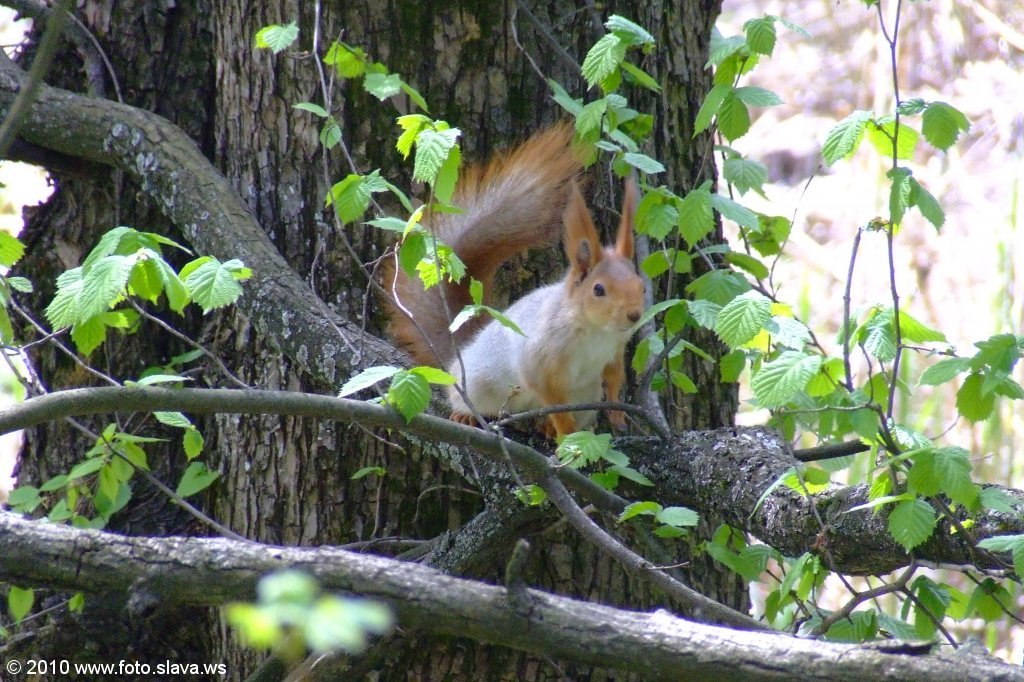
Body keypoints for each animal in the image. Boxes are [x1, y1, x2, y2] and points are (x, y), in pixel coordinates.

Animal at [386, 124, 645, 439]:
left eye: (641, 285)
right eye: (598, 289)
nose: (634, 315)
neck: (597, 331)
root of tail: (463, 351)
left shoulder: (615, 351)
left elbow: (615, 378)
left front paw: (617, 414)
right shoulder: (540, 356)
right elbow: (549, 395)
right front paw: (566, 432)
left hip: (586, 395)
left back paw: (544, 426)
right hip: (478, 382)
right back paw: (467, 415)